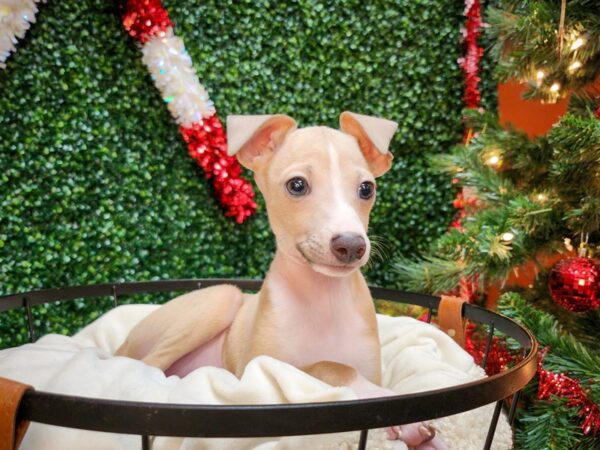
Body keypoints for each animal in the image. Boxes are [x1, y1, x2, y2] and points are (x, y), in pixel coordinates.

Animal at [116, 111, 446, 446]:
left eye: (367, 188)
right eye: (297, 185)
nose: (352, 245)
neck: (323, 300)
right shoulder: (258, 372)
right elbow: (331, 365)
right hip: (221, 297)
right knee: (148, 367)